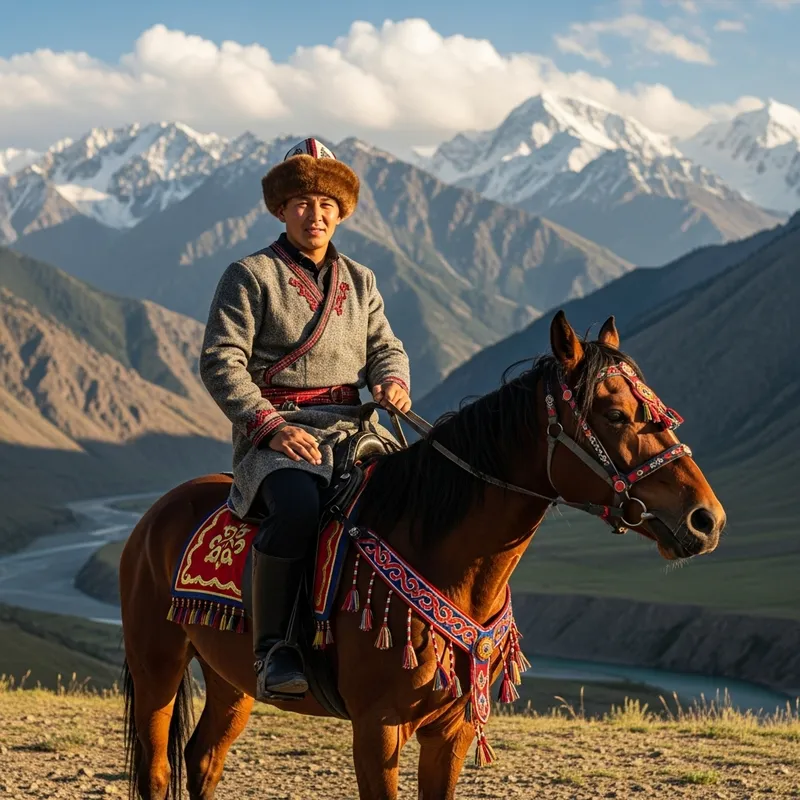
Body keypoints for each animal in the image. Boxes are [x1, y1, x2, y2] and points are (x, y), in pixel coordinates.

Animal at [119, 311, 725, 799]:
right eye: (616, 414)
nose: (706, 519)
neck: (440, 552)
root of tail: (155, 516)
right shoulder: (377, 729)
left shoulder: (450, 730)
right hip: (157, 666)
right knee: (157, 771)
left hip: (231, 678)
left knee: (204, 759)